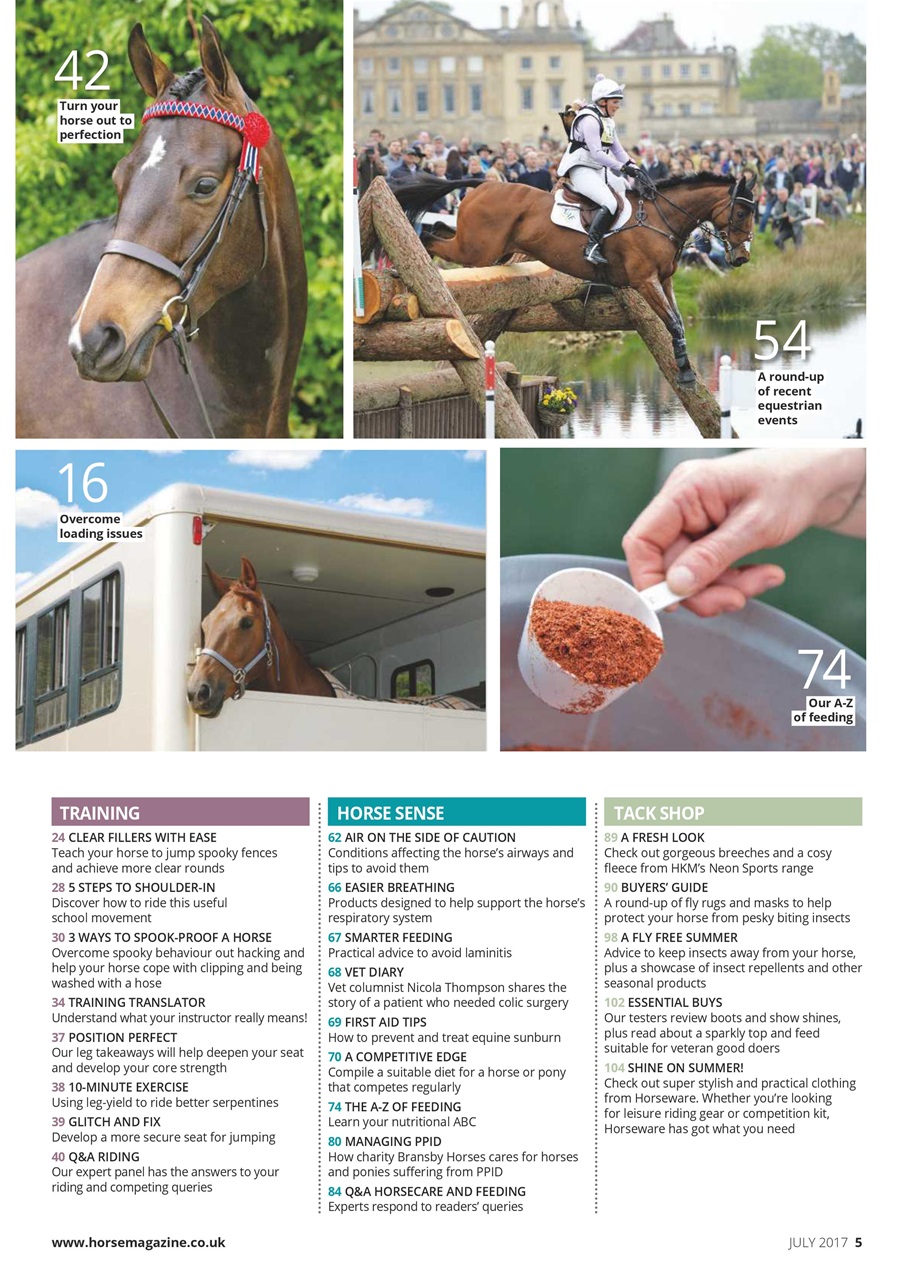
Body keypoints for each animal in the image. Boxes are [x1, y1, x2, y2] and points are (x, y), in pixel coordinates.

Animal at [391, 172, 757, 385]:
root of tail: (484, 184)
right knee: (430, 235)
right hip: (477, 249)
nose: (741, 258)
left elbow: (677, 320)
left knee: (439, 228)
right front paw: (684, 371)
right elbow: (673, 322)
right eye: (741, 213)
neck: (658, 218)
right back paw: (404, 266)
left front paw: (684, 365)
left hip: (489, 249)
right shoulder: (644, 281)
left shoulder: (664, 280)